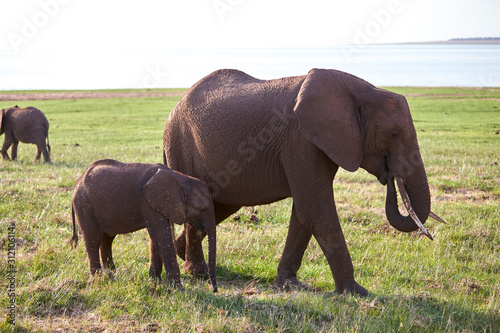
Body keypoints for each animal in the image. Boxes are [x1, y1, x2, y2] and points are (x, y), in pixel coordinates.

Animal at [70, 158, 217, 290]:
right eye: (202, 209)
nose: (214, 290)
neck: (180, 179)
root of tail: (77, 183)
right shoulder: (148, 204)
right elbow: (162, 237)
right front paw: (178, 289)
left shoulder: (161, 205)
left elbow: (156, 238)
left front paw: (156, 281)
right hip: (85, 207)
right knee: (93, 240)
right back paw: (98, 278)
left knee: (107, 239)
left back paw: (110, 275)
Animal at [162, 68, 444, 296]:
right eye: (394, 134)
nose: (390, 176)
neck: (361, 92)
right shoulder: (300, 140)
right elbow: (315, 209)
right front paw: (358, 293)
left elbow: (303, 213)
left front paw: (288, 285)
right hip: (181, 144)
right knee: (198, 203)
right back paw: (197, 273)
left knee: (220, 205)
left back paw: (182, 254)